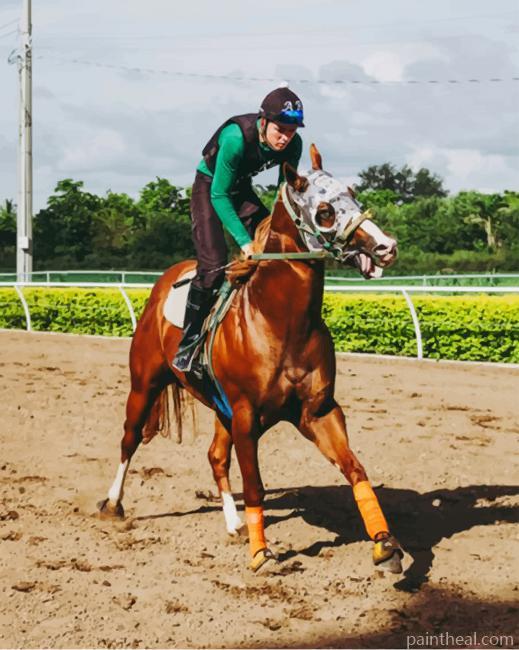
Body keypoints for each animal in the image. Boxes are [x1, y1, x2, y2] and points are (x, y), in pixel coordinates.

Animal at [98, 144, 404, 574]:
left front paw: (384, 543)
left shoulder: (318, 411)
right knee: (129, 440)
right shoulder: (245, 414)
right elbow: (256, 486)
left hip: (219, 408)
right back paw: (113, 503)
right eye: (325, 210)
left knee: (214, 457)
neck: (281, 320)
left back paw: (234, 523)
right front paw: (262, 554)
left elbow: (355, 469)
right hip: (145, 384)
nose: (385, 246)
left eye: (353, 194)